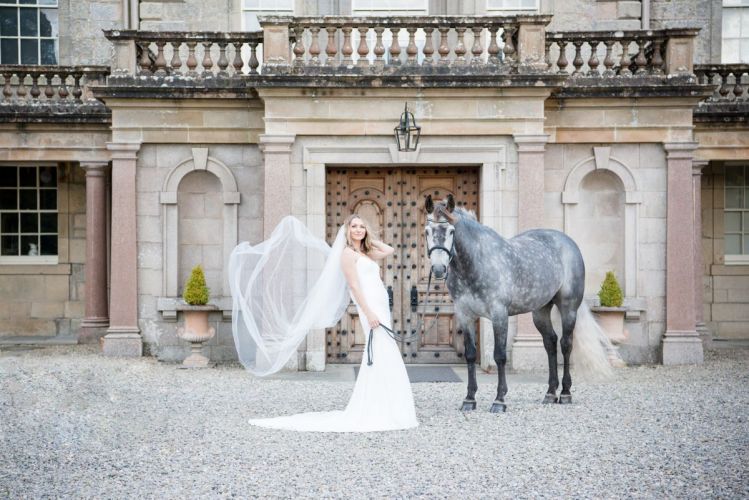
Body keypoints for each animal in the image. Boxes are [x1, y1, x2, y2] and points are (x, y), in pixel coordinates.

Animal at [424, 193, 612, 412]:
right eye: (427, 231)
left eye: (452, 231)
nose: (438, 269)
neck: (477, 261)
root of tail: (568, 242)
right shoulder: (465, 315)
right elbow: (470, 354)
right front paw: (469, 399)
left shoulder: (499, 314)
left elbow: (499, 356)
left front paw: (499, 400)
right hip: (540, 311)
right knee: (550, 343)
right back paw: (550, 393)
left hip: (568, 307)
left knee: (566, 344)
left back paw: (565, 393)